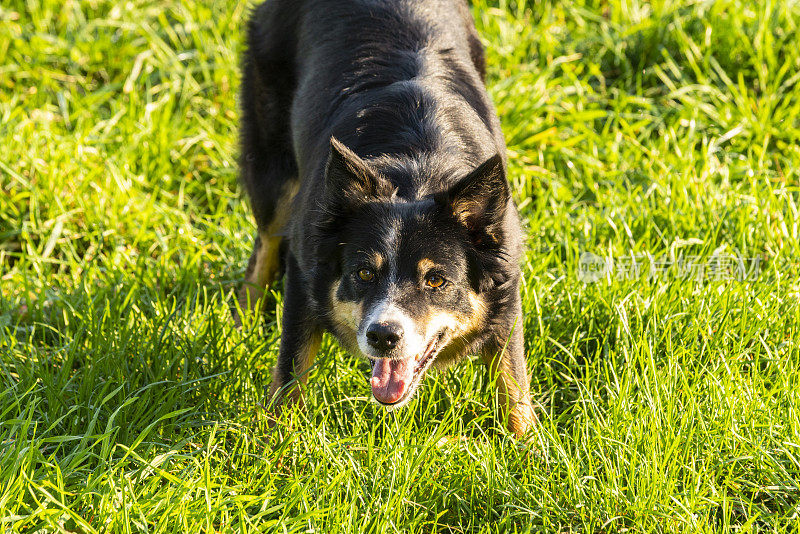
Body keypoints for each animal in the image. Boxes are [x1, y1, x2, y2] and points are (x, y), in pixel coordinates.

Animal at [238, 0, 536, 438]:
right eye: (363, 273)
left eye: (436, 280)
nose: (383, 336)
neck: (417, 171)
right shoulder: (305, 269)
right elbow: (291, 366)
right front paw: (277, 440)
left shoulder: (507, 285)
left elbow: (512, 377)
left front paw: (526, 444)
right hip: (273, 165)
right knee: (267, 238)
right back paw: (242, 315)